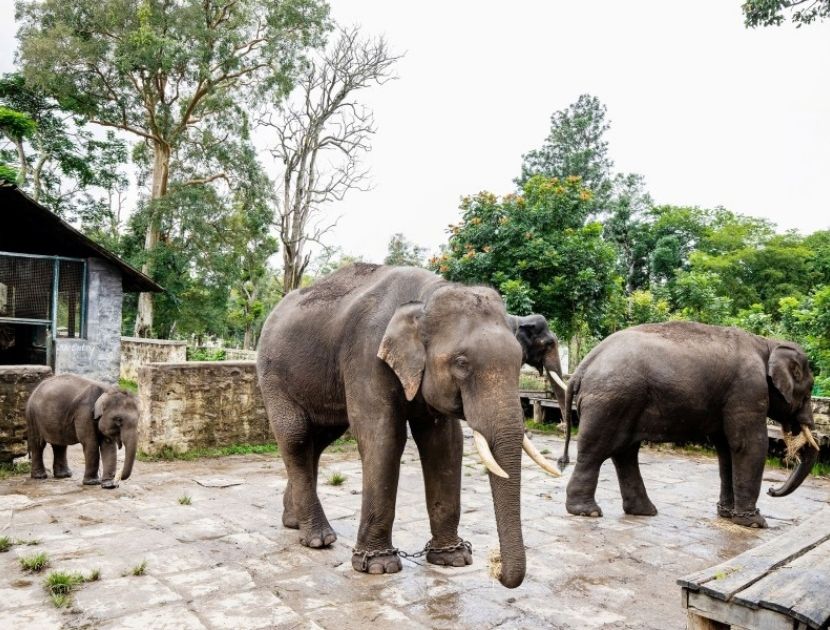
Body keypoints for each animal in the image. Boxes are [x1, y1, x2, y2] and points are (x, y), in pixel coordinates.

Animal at [256, 263, 564, 588]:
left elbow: (445, 444)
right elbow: (384, 436)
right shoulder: (367, 356)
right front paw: (378, 566)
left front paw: (453, 559)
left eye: (520, 362)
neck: (425, 298)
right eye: (461, 363)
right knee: (297, 436)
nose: (496, 569)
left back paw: (294, 523)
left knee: (318, 440)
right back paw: (319, 539)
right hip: (272, 374)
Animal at [559, 321, 820, 528]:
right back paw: (588, 512)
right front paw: (755, 523)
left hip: (623, 401)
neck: (767, 344)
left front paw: (726, 515)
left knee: (624, 452)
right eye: (808, 392)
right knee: (596, 451)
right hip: (611, 399)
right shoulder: (748, 389)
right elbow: (748, 445)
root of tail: (583, 365)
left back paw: (644, 511)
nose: (772, 490)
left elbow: (726, 449)